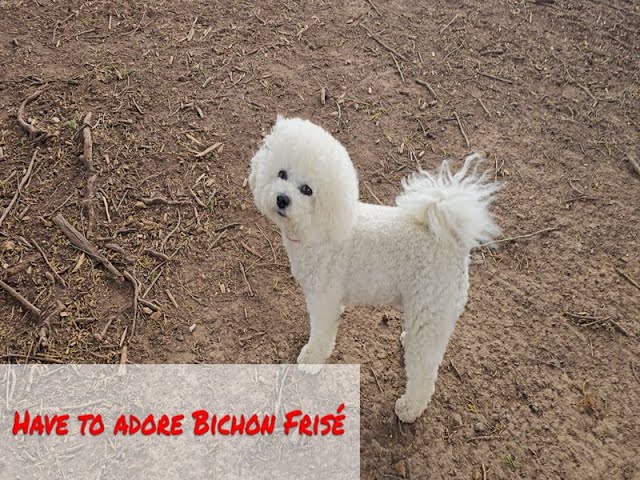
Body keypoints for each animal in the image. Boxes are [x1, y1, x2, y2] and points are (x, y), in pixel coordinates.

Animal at [249, 117, 500, 424]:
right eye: (282, 173)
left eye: (307, 190)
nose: (282, 199)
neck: (320, 229)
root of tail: (452, 240)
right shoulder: (331, 298)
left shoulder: (323, 297)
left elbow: (321, 333)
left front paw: (311, 359)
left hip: (431, 310)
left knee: (424, 372)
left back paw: (409, 408)